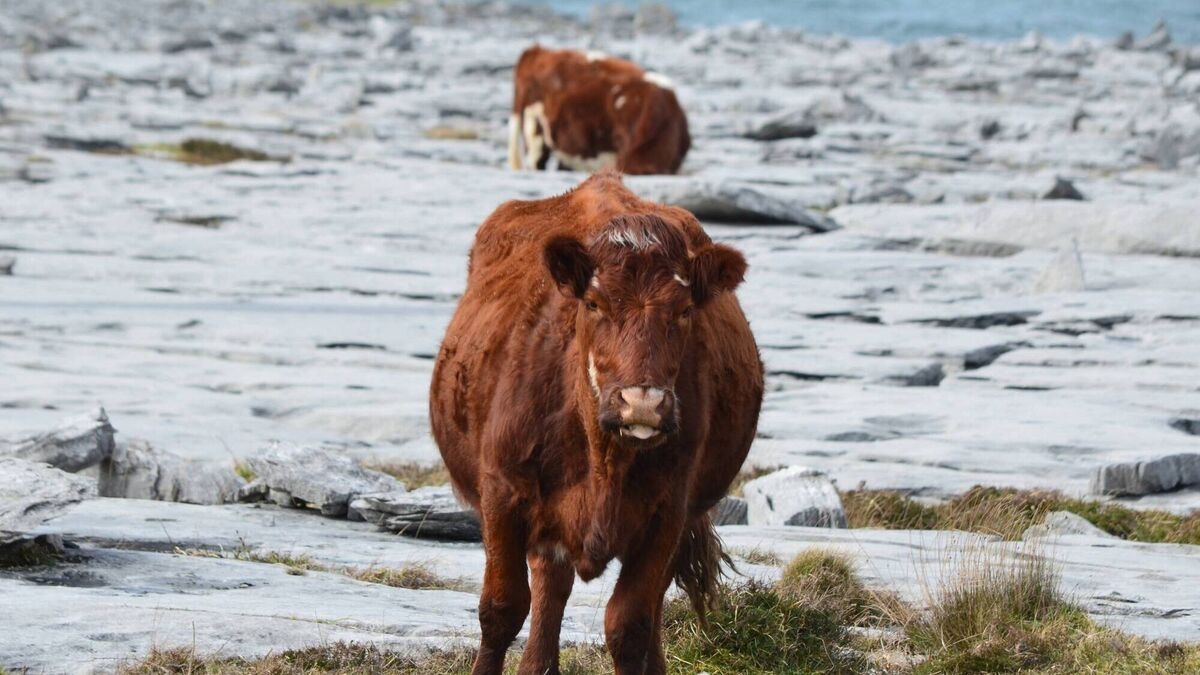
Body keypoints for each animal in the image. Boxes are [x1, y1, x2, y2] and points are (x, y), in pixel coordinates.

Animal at [429, 170, 763, 675]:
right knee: (550, 586)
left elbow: (630, 624)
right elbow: (501, 610)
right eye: (593, 303)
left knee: (646, 608)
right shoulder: (502, 493)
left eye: (685, 310)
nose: (642, 403)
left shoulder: (668, 510)